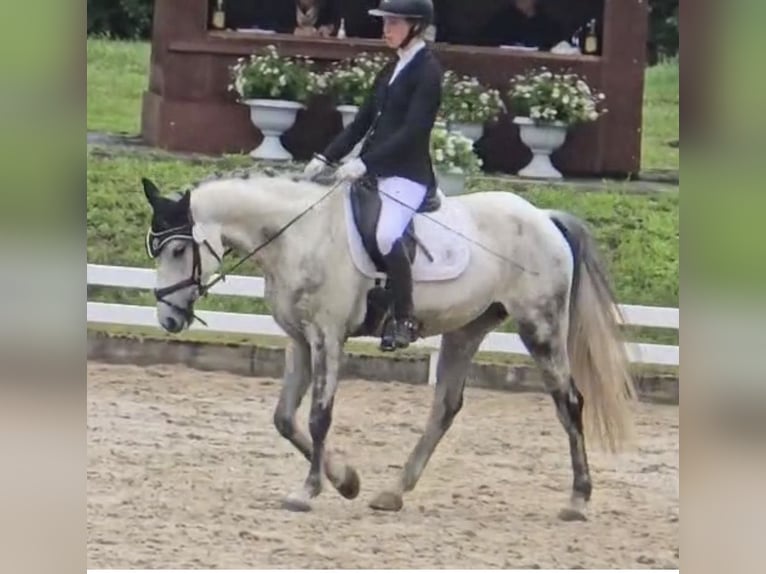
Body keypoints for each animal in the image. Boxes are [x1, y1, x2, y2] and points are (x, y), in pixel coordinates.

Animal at [140, 168, 636, 521]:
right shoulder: (299, 340)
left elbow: (319, 416)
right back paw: (392, 493)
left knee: (569, 401)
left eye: (179, 250)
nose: (168, 318)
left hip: (540, 326)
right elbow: (284, 419)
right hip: (466, 329)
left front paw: (309, 491)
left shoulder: (326, 336)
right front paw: (347, 481)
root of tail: (544, 217)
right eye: (156, 250)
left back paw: (578, 500)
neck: (298, 235)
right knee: (445, 408)